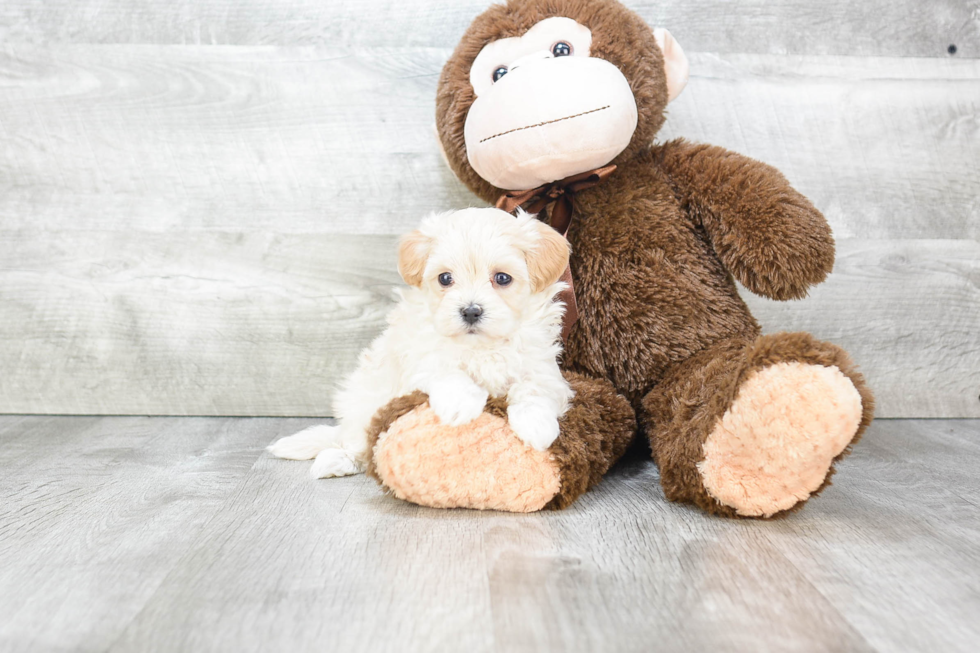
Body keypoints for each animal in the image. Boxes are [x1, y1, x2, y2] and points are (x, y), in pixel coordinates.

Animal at [268, 208, 576, 478]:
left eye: (502, 278)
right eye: (445, 278)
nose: (471, 311)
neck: (480, 347)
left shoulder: (543, 368)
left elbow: (535, 389)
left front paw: (536, 426)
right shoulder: (419, 358)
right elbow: (446, 372)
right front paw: (461, 405)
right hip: (364, 404)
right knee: (357, 443)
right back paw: (337, 459)